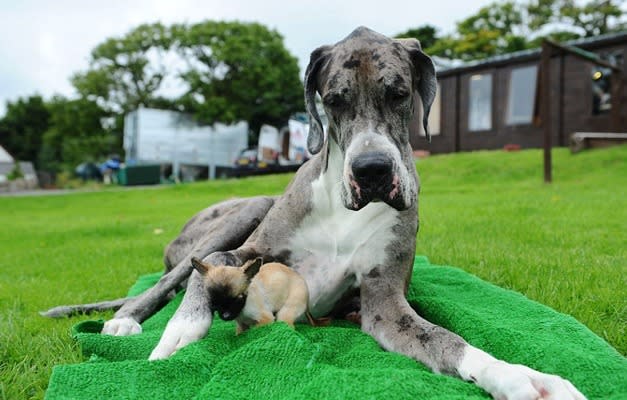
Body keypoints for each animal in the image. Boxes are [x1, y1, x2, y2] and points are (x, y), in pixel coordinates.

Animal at [44, 26, 584, 398]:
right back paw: (127, 320)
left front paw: (523, 378)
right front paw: (180, 333)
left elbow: (447, 339)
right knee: (169, 278)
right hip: (246, 210)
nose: (371, 170)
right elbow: (208, 270)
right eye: (333, 100)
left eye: (399, 94)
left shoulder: (386, 302)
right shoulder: (248, 250)